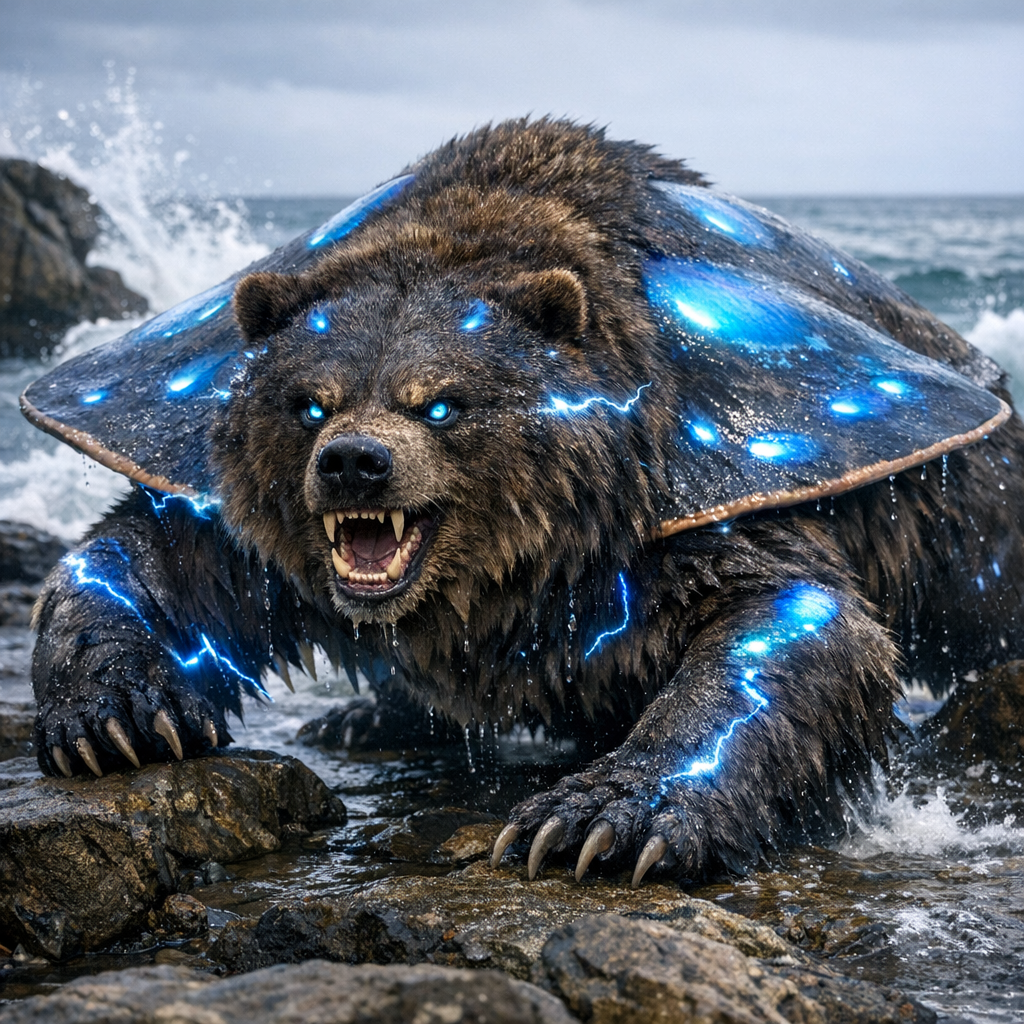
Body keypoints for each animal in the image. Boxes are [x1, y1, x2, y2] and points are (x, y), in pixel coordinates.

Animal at [24, 118, 1024, 885]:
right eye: (311, 400)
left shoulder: (696, 484)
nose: (354, 464)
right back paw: (364, 716)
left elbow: (794, 622)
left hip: (967, 479)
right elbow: (157, 555)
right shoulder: (218, 467)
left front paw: (597, 822)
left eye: (441, 401)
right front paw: (116, 719)